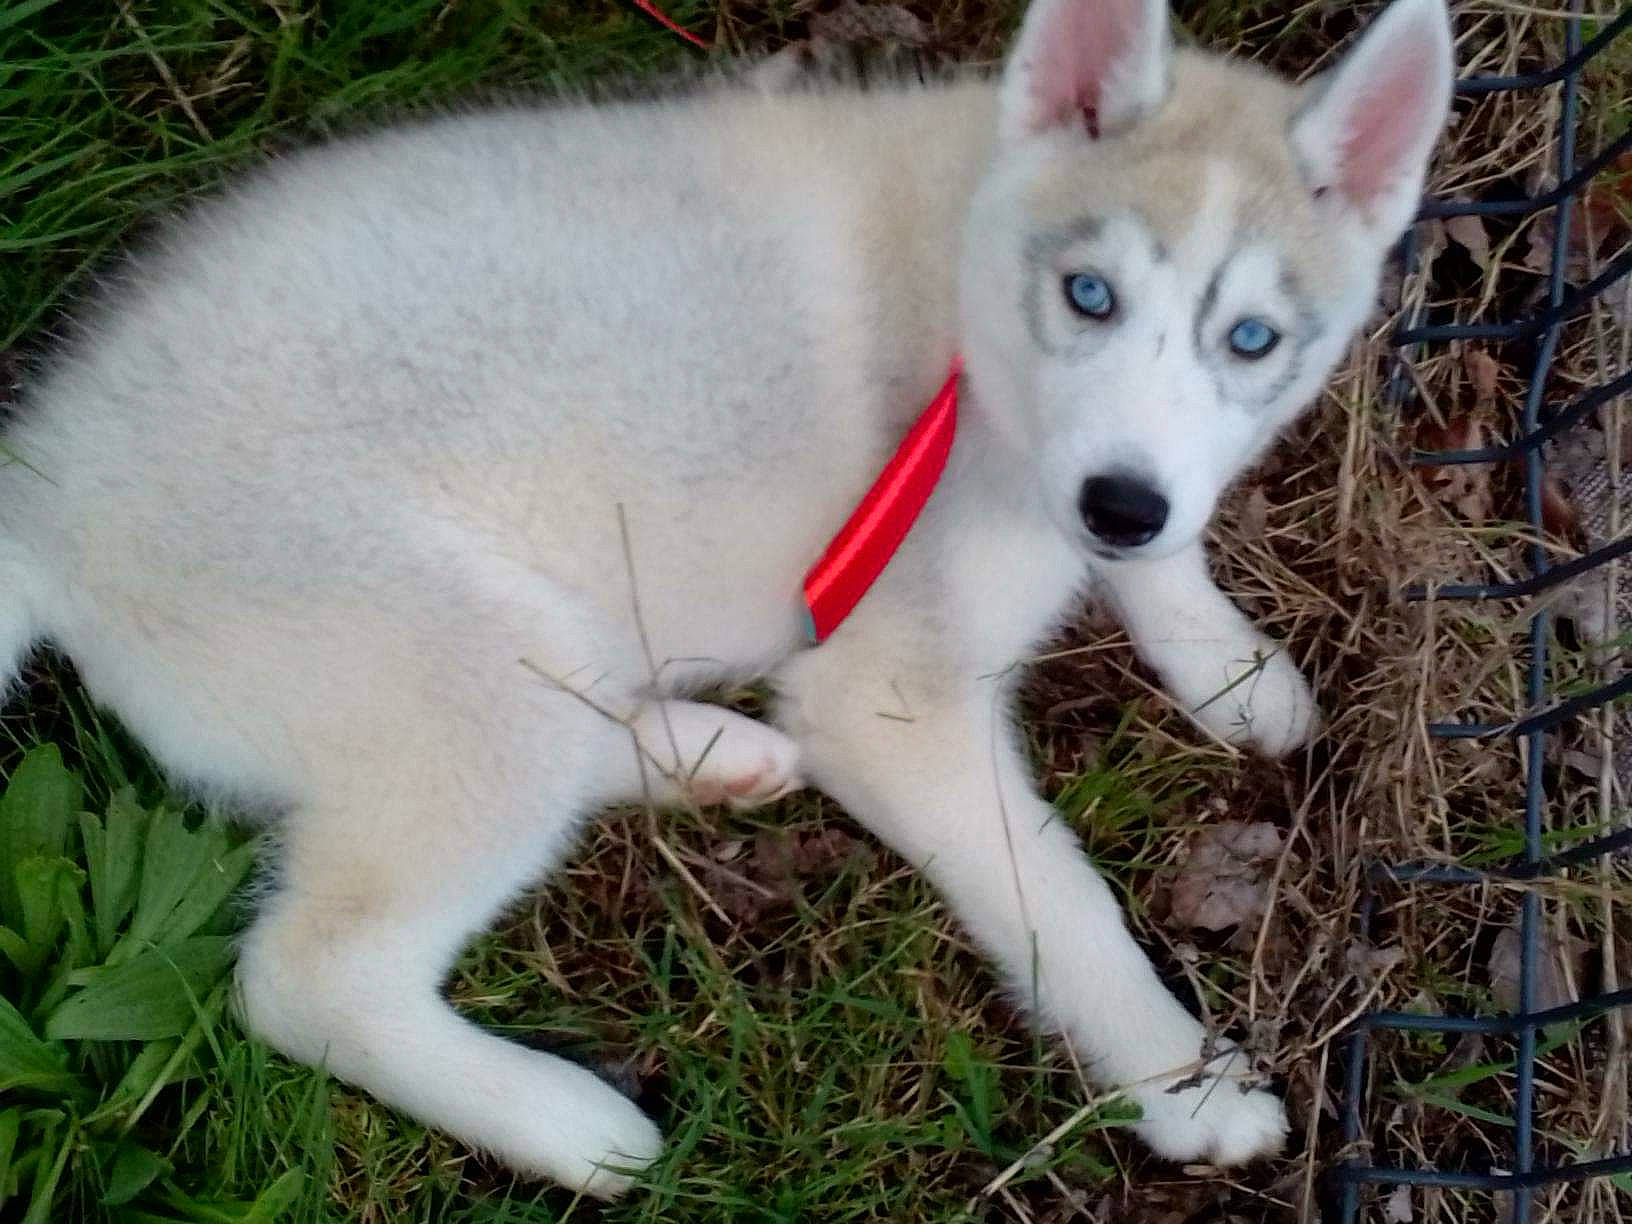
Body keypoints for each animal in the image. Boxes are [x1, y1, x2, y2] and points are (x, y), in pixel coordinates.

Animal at [0, 0, 1452, 1198]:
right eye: (1087, 295)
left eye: (1252, 341)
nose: (1116, 504)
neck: (968, 294)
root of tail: (47, 491)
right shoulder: (890, 699)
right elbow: (1061, 900)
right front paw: (1183, 1082)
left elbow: (1168, 564)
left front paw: (1229, 666)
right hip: (446, 675)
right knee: (303, 981)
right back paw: (566, 1121)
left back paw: (711, 755)